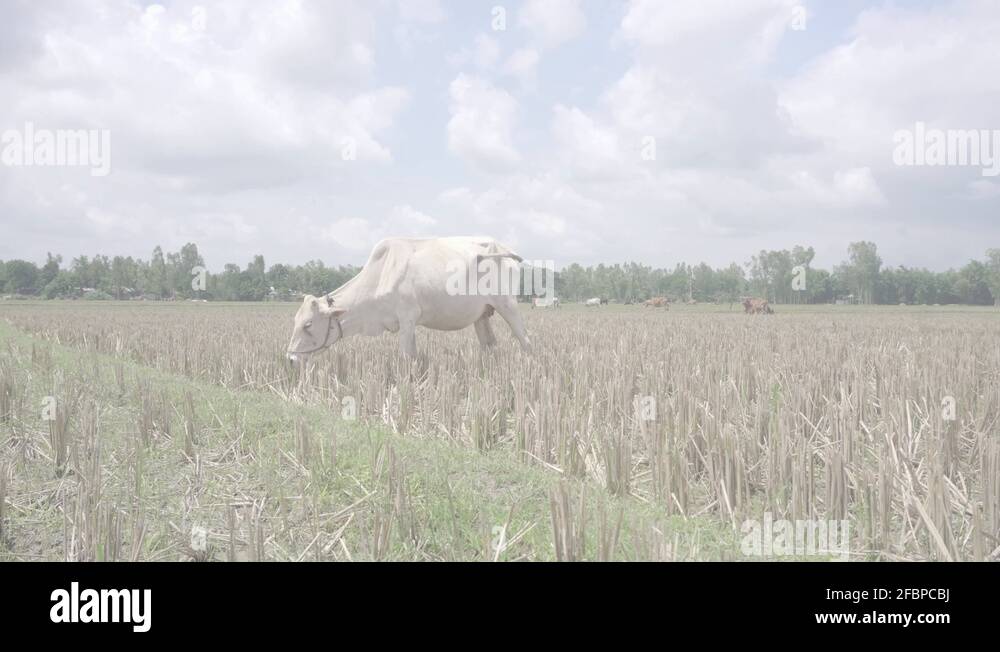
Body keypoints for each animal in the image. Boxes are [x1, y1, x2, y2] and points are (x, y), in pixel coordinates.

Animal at [286, 237, 531, 360]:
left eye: (308, 324)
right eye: (295, 321)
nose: (290, 359)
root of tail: (502, 246)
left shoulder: (407, 318)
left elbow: (405, 357)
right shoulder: (409, 323)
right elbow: (413, 356)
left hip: (508, 305)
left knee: (525, 340)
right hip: (482, 315)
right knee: (489, 344)